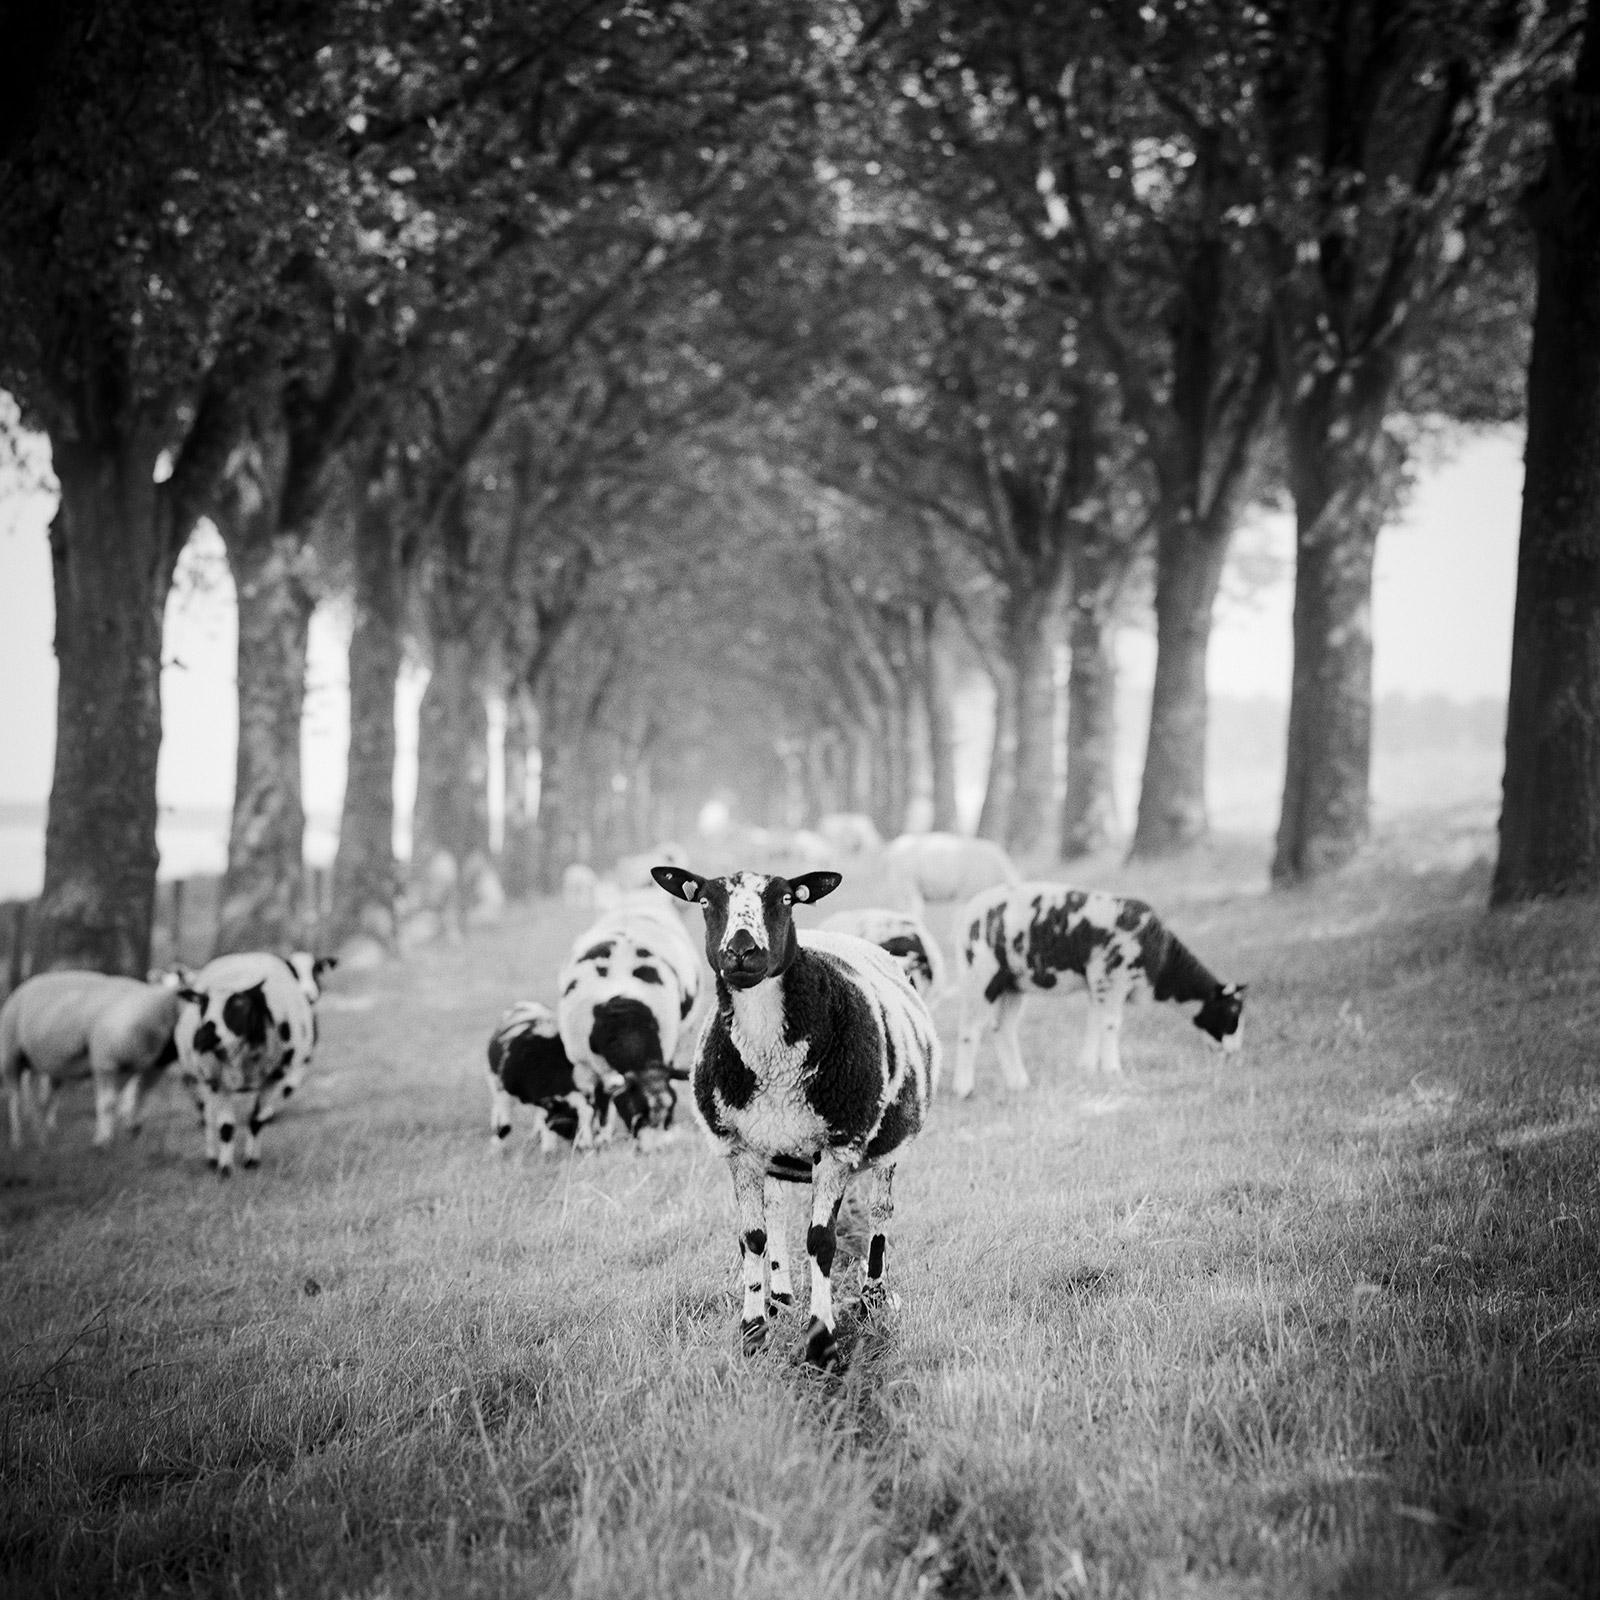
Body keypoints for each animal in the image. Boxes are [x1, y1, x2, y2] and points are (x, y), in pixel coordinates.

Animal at [0, 966, 200, 1145]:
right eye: (186, 991)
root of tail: (24, 985)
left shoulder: (147, 1066)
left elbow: (139, 1095)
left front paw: (132, 1129)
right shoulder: (106, 1062)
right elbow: (108, 1103)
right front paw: (103, 1139)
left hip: (41, 1063)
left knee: (45, 1097)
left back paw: (41, 1133)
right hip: (11, 1054)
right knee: (15, 1097)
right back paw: (18, 1139)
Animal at [560, 896, 704, 1145]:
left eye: (671, 1108)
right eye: (633, 1108)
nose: (654, 1148)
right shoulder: (584, 1065)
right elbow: (598, 1102)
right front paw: (599, 1138)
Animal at [646, 864, 934, 1376]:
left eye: (785, 899)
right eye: (704, 900)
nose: (741, 951)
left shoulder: (838, 1145)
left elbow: (821, 1241)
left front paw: (821, 1343)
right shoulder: (740, 1147)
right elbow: (752, 1237)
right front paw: (752, 1330)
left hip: (886, 1147)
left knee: (880, 1214)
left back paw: (873, 1296)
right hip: (775, 1147)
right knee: (777, 1213)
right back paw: (780, 1297)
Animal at [947, 883, 1248, 1094]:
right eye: (1232, 1012)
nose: (1233, 1054)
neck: (1163, 965)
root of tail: (968, 913)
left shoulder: (1098, 984)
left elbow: (1095, 1022)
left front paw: (1088, 1069)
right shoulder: (1112, 977)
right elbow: (1111, 1024)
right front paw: (1113, 1071)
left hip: (1012, 983)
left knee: (1003, 1028)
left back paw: (1018, 1082)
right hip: (981, 974)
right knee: (970, 1030)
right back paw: (964, 1088)